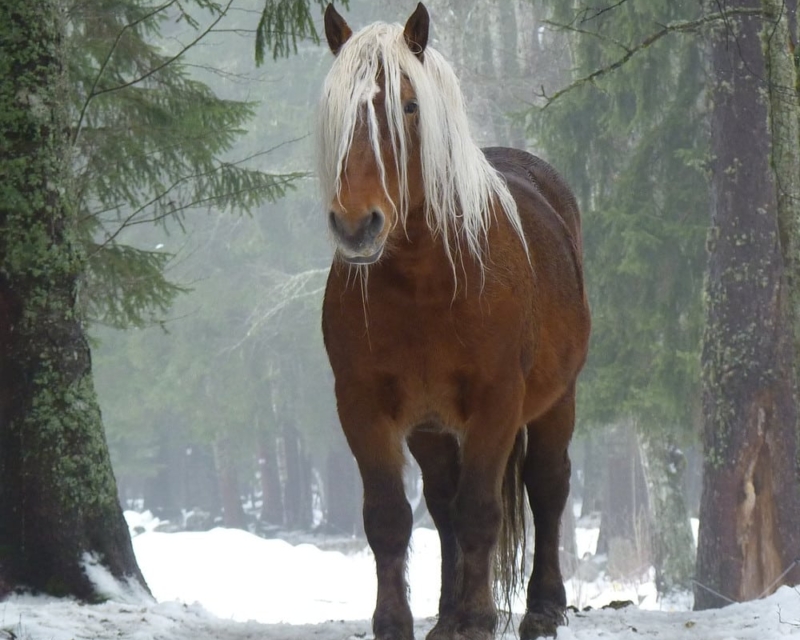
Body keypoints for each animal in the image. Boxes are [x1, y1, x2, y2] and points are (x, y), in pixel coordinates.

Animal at [318, 5, 588, 640]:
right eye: (337, 109)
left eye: (409, 106)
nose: (356, 225)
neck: (427, 282)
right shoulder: (363, 405)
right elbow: (390, 517)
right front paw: (396, 623)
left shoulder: (498, 401)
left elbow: (481, 511)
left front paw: (482, 618)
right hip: (432, 427)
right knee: (441, 505)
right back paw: (446, 614)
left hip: (556, 400)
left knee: (547, 486)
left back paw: (541, 607)